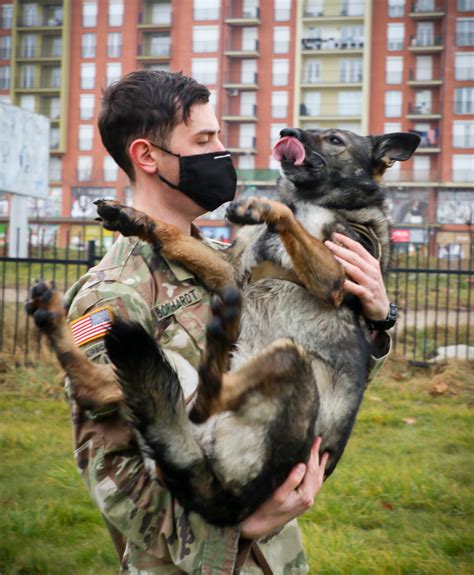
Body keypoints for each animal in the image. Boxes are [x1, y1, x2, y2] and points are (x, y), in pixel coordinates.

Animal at [26, 129, 418, 528]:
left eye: (335, 139)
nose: (286, 132)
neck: (314, 200)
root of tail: (229, 500)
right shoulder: (232, 271)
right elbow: (177, 236)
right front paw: (138, 219)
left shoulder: (336, 279)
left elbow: (282, 214)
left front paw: (259, 204)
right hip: (170, 366)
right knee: (100, 389)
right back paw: (52, 316)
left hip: (286, 358)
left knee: (208, 396)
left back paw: (224, 328)